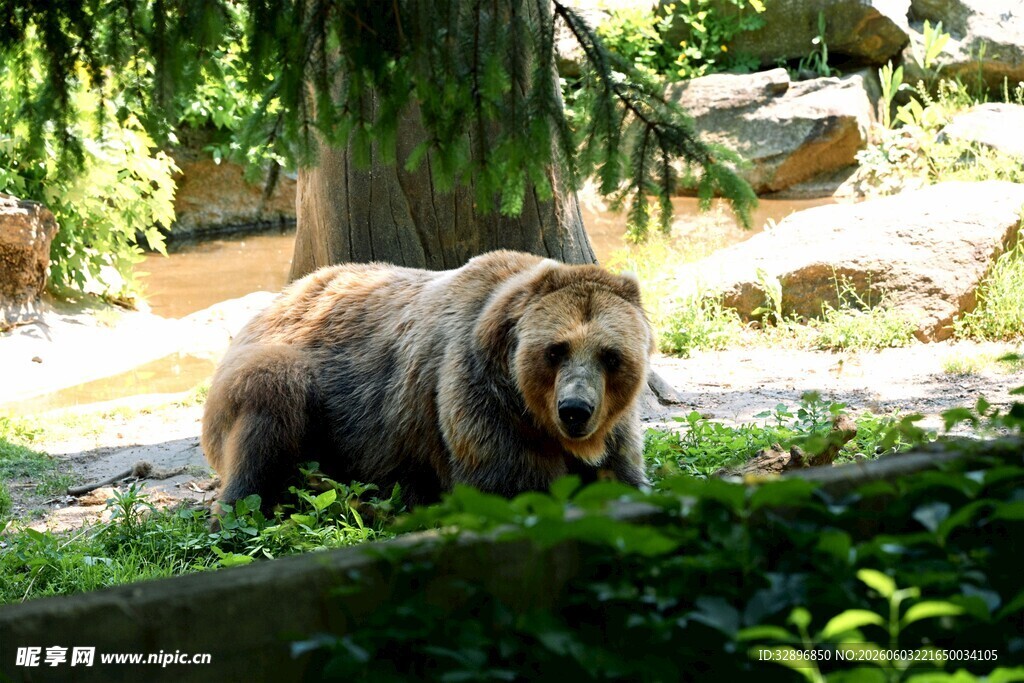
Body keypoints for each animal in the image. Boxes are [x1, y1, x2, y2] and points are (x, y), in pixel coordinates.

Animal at [201, 250, 654, 514]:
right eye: (556, 350)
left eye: (611, 355)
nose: (575, 410)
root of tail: (280, 297)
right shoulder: (476, 397)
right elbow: (510, 487)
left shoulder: (615, 428)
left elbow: (625, 476)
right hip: (287, 375)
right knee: (269, 404)